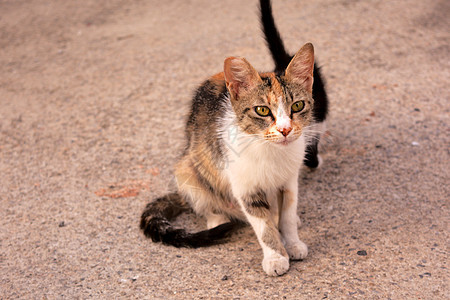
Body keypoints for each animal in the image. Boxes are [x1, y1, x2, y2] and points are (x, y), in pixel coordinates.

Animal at [139, 0, 328, 276]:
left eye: (298, 106)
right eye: (262, 110)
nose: (285, 130)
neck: (271, 151)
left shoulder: (289, 180)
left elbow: (287, 213)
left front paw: (292, 241)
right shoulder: (244, 185)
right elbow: (262, 224)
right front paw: (275, 256)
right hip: (187, 167)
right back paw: (219, 217)